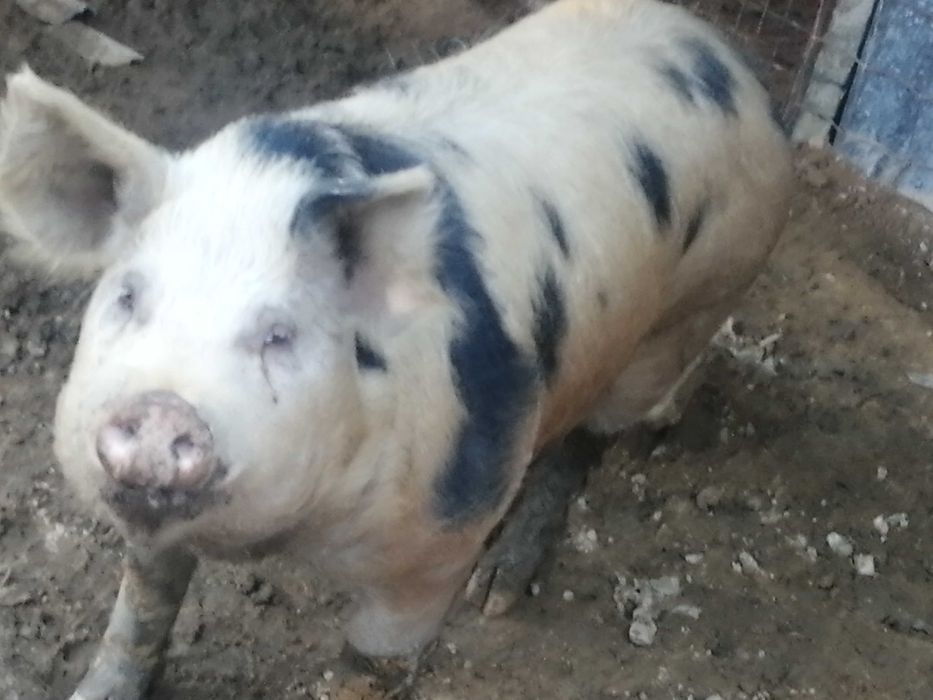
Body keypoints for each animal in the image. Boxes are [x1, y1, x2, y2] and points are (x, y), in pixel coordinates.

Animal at [0, 0, 792, 697]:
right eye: (129, 296)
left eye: (280, 334)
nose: (165, 408)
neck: (286, 537)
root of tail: (731, 60)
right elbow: (142, 604)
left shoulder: (441, 539)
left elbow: (372, 666)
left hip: (693, 303)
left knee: (587, 443)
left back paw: (499, 591)